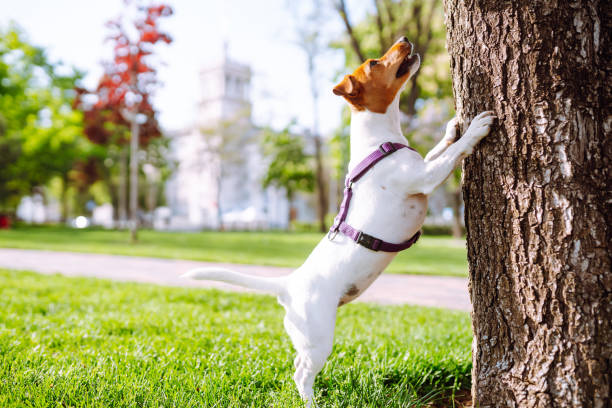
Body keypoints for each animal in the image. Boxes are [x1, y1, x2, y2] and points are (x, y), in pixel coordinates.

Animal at [180, 36, 492, 406]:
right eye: (373, 62)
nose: (403, 39)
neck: (380, 141)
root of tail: (287, 285)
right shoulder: (425, 177)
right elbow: (453, 154)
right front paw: (475, 129)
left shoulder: (423, 164)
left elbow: (439, 148)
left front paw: (452, 127)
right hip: (319, 338)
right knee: (302, 373)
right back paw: (311, 401)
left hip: (306, 337)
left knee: (296, 362)